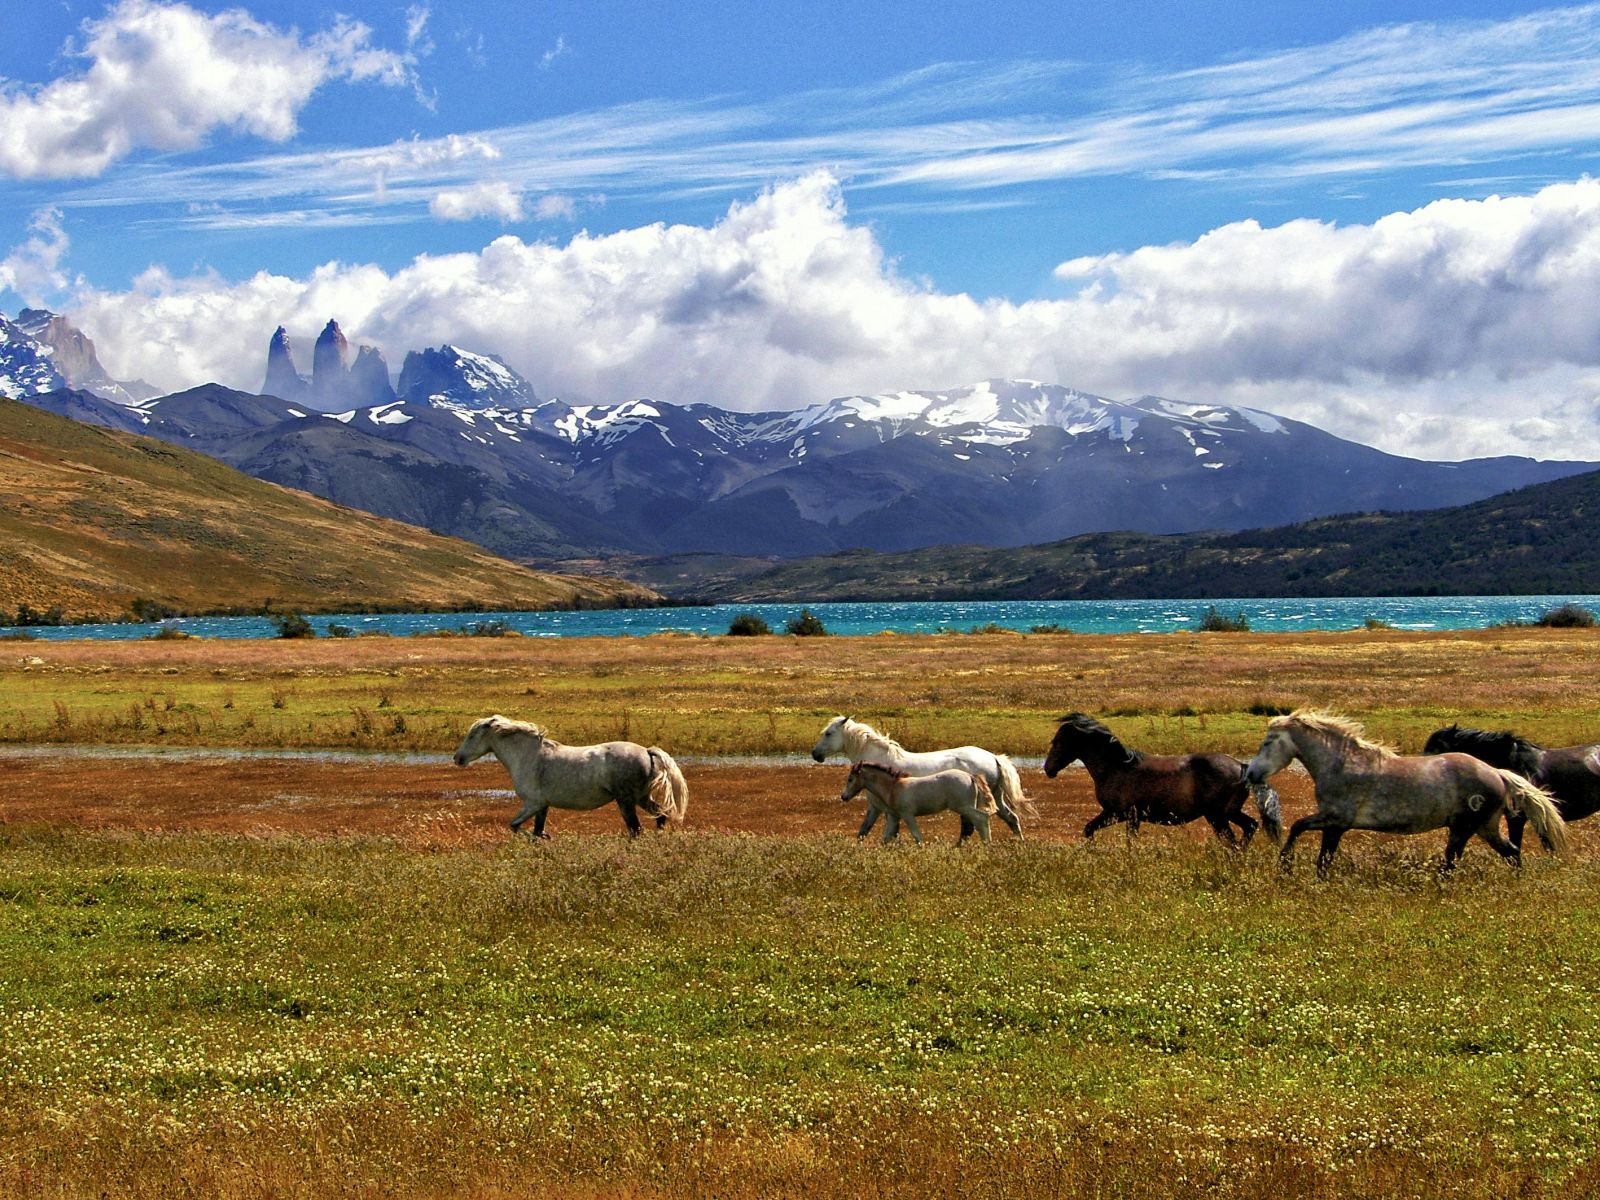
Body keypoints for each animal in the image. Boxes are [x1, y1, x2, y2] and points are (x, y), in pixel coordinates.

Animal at [452, 715, 689, 838]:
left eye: (472, 735)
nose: (457, 758)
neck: (529, 757)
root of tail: (647, 751)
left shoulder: (533, 803)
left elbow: (515, 826)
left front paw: (546, 837)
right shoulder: (542, 806)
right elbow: (535, 831)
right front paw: (545, 839)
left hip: (626, 801)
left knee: (636, 829)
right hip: (641, 798)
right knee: (660, 816)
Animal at [839, 761, 997, 845]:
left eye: (850, 779)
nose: (843, 797)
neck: (893, 788)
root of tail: (970, 776)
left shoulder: (908, 815)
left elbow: (917, 836)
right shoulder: (894, 816)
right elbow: (886, 838)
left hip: (963, 807)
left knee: (981, 818)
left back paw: (987, 845)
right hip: (967, 807)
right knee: (975, 824)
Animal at [1043, 713, 1280, 846]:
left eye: (1057, 742)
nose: (1048, 769)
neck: (1116, 768)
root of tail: (1242, 767)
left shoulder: (1122, 815)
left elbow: (1123, 840)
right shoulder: (1121, 816)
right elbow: (1089, 829)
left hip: (1217, 816)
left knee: (1232, 840)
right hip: (1229, 813)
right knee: (1250, 826)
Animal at [1243, 710, 1566, 874]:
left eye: (1268, 741)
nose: (1251, 773)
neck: (1342, 764)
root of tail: (1497, 773)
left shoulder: (1335, 820)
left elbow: (1300, 829)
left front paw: (1285, 864)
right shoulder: (1335, 825)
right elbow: (1323, 856)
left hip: (1465, 827)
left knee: (1454, 860)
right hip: (1484, 827)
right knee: (1510, 852)